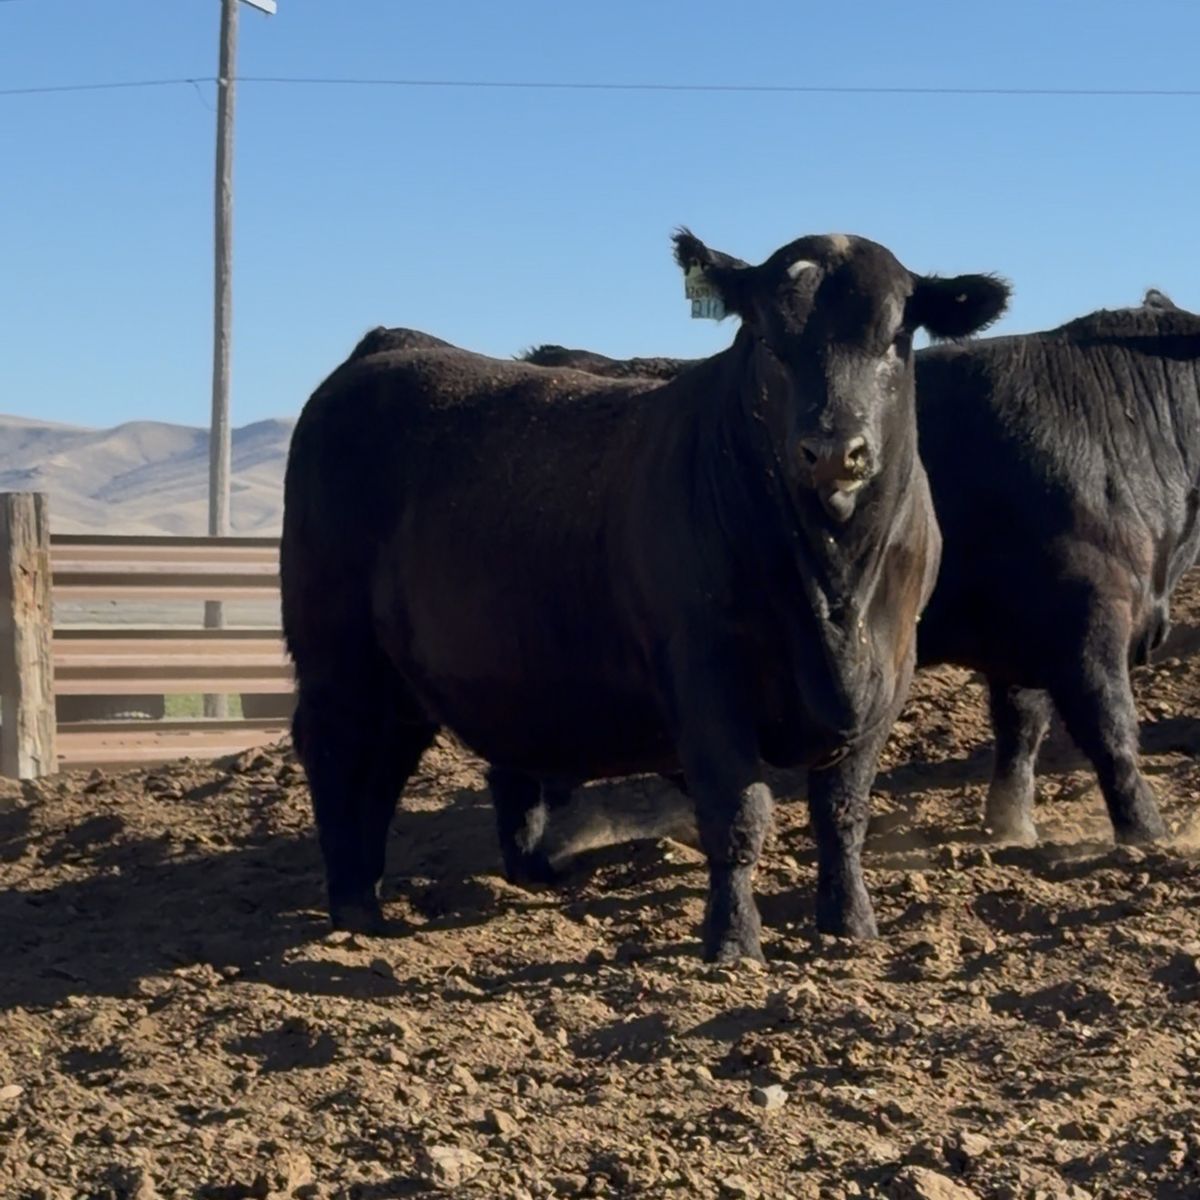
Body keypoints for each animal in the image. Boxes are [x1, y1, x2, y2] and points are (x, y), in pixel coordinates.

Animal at [280, 230, 1009, 961]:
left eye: (894, 338)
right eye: (768, 340)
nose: (833, 451)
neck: (834, 591)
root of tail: (390, 345)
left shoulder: (891, 671)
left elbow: (843, 813)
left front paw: (852, 925)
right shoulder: (704, 674)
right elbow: (737, 814)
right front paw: (733, 942)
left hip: (402, 678)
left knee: (386, 765)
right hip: (336, 653)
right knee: (338, 753)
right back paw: (353, 907)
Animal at [518, 288, 1200, 849]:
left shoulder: (1024, 636)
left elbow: (1021, 728)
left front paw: (1012, 826)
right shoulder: (1087, 616)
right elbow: (1111, 729)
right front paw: (1149, 836)